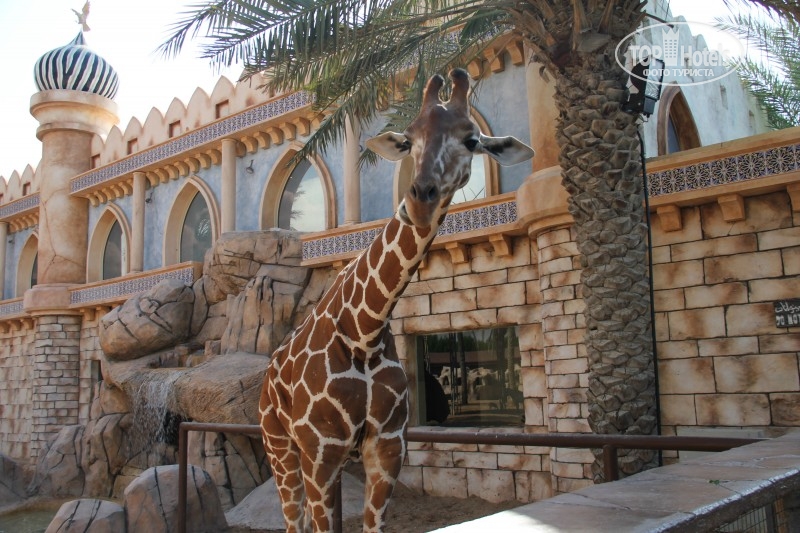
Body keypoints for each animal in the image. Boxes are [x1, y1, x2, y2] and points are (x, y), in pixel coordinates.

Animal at [258, 68, 535, 533]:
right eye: (408, 139)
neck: (364, 331)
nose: (421, 197)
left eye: (471, 140)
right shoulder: (320, 451)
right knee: (293, 519)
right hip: (279, 446)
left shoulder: (386, 450)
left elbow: (373, 525)